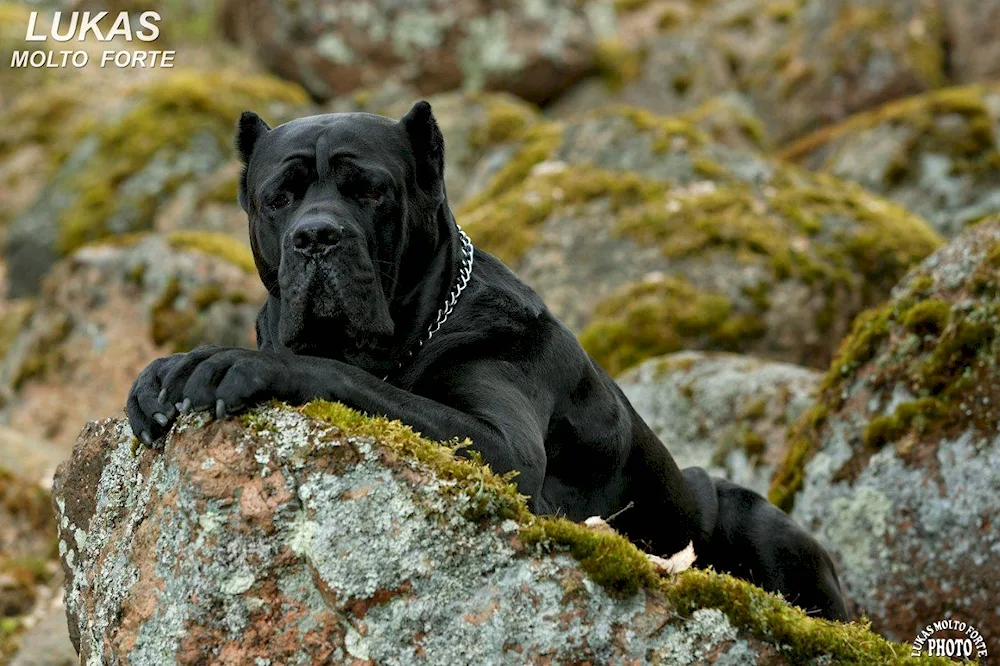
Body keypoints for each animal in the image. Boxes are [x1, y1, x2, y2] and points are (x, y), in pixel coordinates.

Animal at [123, 101, 844, 620]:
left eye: (370, 191)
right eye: (280, 197)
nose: (317, 236)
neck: (412, 330)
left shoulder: (501, 447)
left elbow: (344, 375)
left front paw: (231, 362)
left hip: (769, 529)